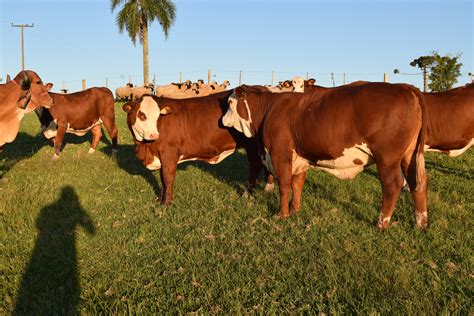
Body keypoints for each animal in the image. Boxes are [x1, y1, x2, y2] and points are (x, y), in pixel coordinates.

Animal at [122, 91, 266, 205]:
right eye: (141, 114)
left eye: (158, 116)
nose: (154, 135)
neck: (145, 148)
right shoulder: (160, 157)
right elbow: (162, 179)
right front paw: (160, 200)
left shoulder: (169, 154)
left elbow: (168, 178)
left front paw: (167, 203)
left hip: (252, 145)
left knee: (255, 166)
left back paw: (248, 194)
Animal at [222, 82, 430, 228]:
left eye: (230, 103)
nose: (222, 120)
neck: (269, 110)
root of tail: (405, 87)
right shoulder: (300, 158)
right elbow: (297, 185)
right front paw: (294, 210)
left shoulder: (280, 154)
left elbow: (285, 185)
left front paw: (282, 215)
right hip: (409, 155)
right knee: (417, 183)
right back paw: (421, 223)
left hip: (387, 158)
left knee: (393, 185)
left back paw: (382, 223)